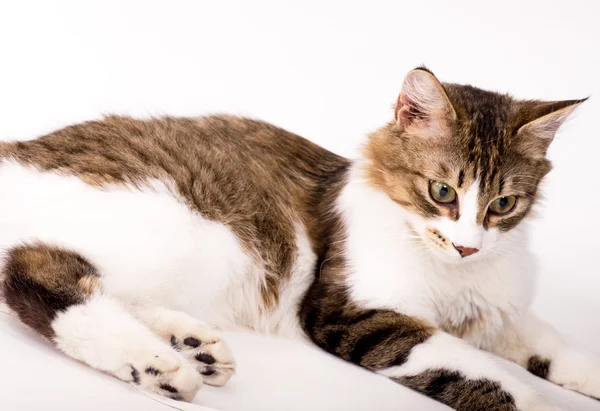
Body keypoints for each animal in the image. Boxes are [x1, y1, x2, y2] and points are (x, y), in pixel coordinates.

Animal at [0, 66, 596, 410]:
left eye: (503, 204)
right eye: (442, 191)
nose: (468, 246)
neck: (453, 272)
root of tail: (16, 151)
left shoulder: (498, 312)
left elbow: (552, 347)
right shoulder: (354, 314)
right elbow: (492, 379)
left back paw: (190, 348)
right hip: (188, 232)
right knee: (36, 272)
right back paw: (163, 369)